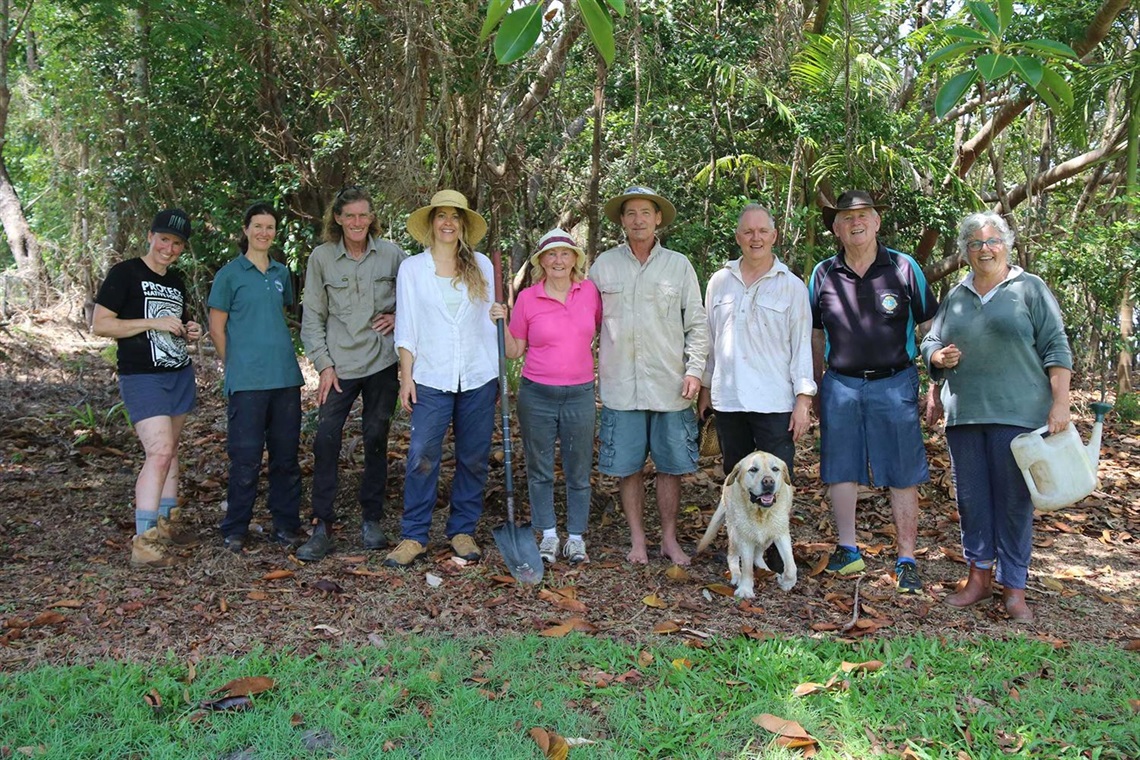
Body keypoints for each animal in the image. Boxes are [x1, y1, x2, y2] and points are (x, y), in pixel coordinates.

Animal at [688, 448, 798, 597]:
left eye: (775, 469)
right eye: (753, 469)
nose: (768, 481)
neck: (761, 512)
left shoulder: (781, 534)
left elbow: (791, 566)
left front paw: (787, 582)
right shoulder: (745, 538)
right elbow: (746, 567)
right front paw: (745, 589)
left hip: (767, 537)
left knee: (757, 556)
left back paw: (768, 572)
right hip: (735, 533)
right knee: (732, 556)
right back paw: (737, 575)